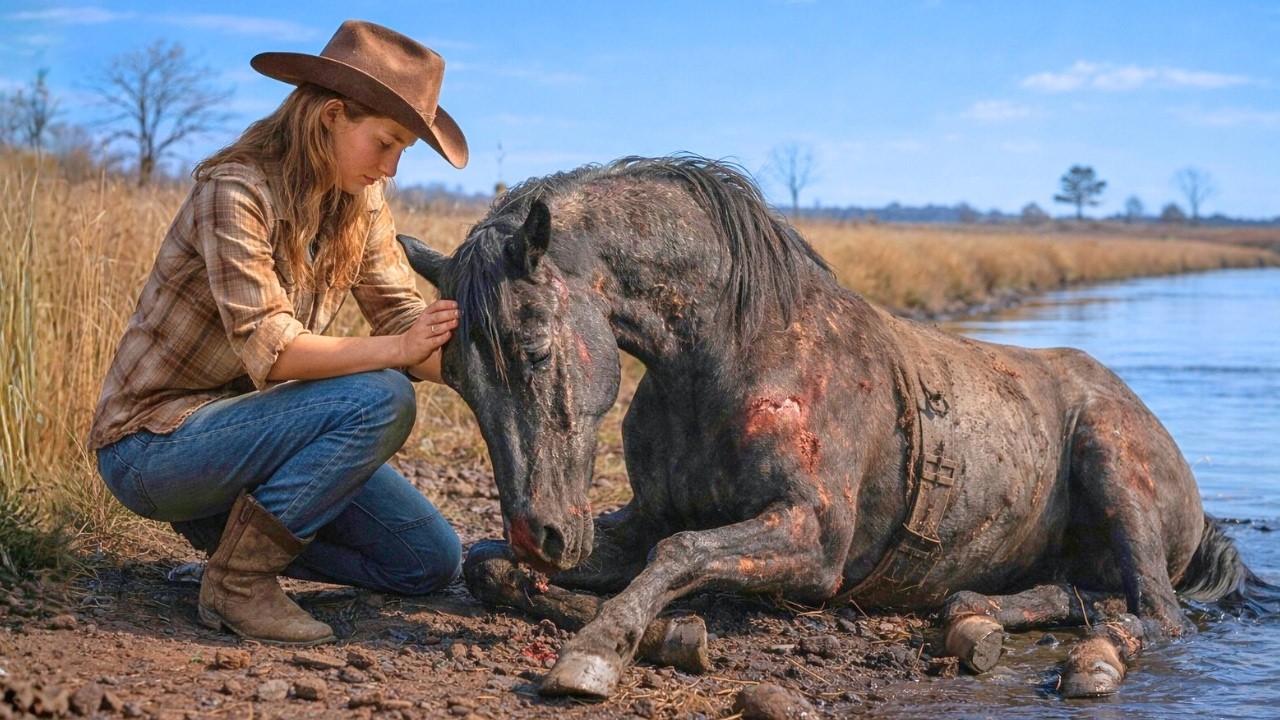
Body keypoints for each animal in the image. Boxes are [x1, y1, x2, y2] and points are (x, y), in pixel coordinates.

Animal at [397, 155, 1275, 700]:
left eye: (535, 347)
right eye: (459, 380)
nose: (541, 534)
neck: (736, 348)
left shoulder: (812, 538)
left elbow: (677, 554)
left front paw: (594, 655)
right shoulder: (639, 518)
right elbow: (495, 563)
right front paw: (668, 631)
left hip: (1112, 461)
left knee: (1152, 615)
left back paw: (1089, 665)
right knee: (1075, 594)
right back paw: (974, 617)